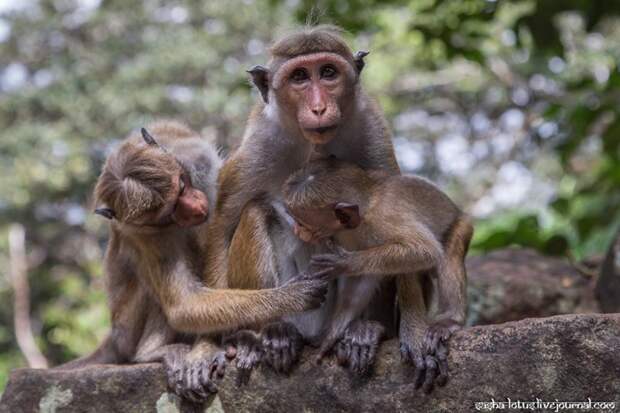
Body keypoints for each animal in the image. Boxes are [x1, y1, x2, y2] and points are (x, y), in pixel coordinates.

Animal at [58, 120, 330, 400]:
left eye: (182, 187)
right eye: (170, 211)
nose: (194, 206)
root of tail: (113, 336)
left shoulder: (197, 159)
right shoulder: (147, 235)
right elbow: (183, 304)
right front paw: (293, 296)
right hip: (127, 330)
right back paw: (151, 353)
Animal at [201, 24, 400, 374]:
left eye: (328, 72)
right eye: (299, 77)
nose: (319, 108)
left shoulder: (371, 130)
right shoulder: (260, 144)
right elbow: (223, 227)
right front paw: (220, 343)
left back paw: (359, 330)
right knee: (254, 212)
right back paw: (276, 334)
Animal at [282, 157, 474, 390]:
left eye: (303, 223)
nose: (297, 231)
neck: (364, 213)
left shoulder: (384, 219)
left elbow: (424, 250)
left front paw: (344, 263)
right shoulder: (345, 236)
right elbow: (363, 278)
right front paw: (334, 333)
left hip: (461, 226)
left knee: (445, 254)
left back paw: (450, 320)